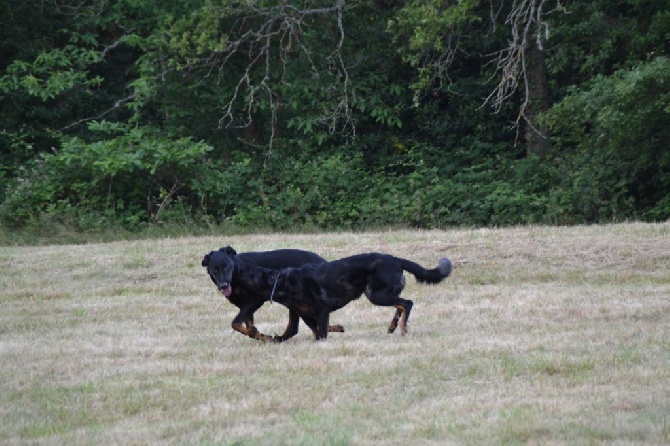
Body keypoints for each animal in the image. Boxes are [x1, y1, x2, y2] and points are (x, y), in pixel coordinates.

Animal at [202, 246, 344, 344]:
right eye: (214, 269)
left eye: (227, 266)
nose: (223, 285)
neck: (237, 273)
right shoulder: (245, 307)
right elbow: (249, 329)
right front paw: (259, 334)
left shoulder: (254, 301)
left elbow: (235, 323)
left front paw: (261, 335)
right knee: (298, 327)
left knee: (298, 327)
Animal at [239, 253, 454, 340]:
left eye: (251, 273)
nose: (239, 269)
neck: (282, 282)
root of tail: (396, 259)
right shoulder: (308, 315)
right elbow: (316, 331)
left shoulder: (322, 311)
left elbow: (322, 334)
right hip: (379, 294)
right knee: (400, 305)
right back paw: (393, 326)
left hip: (376, 295)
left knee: (407, 303)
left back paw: (401, 328)